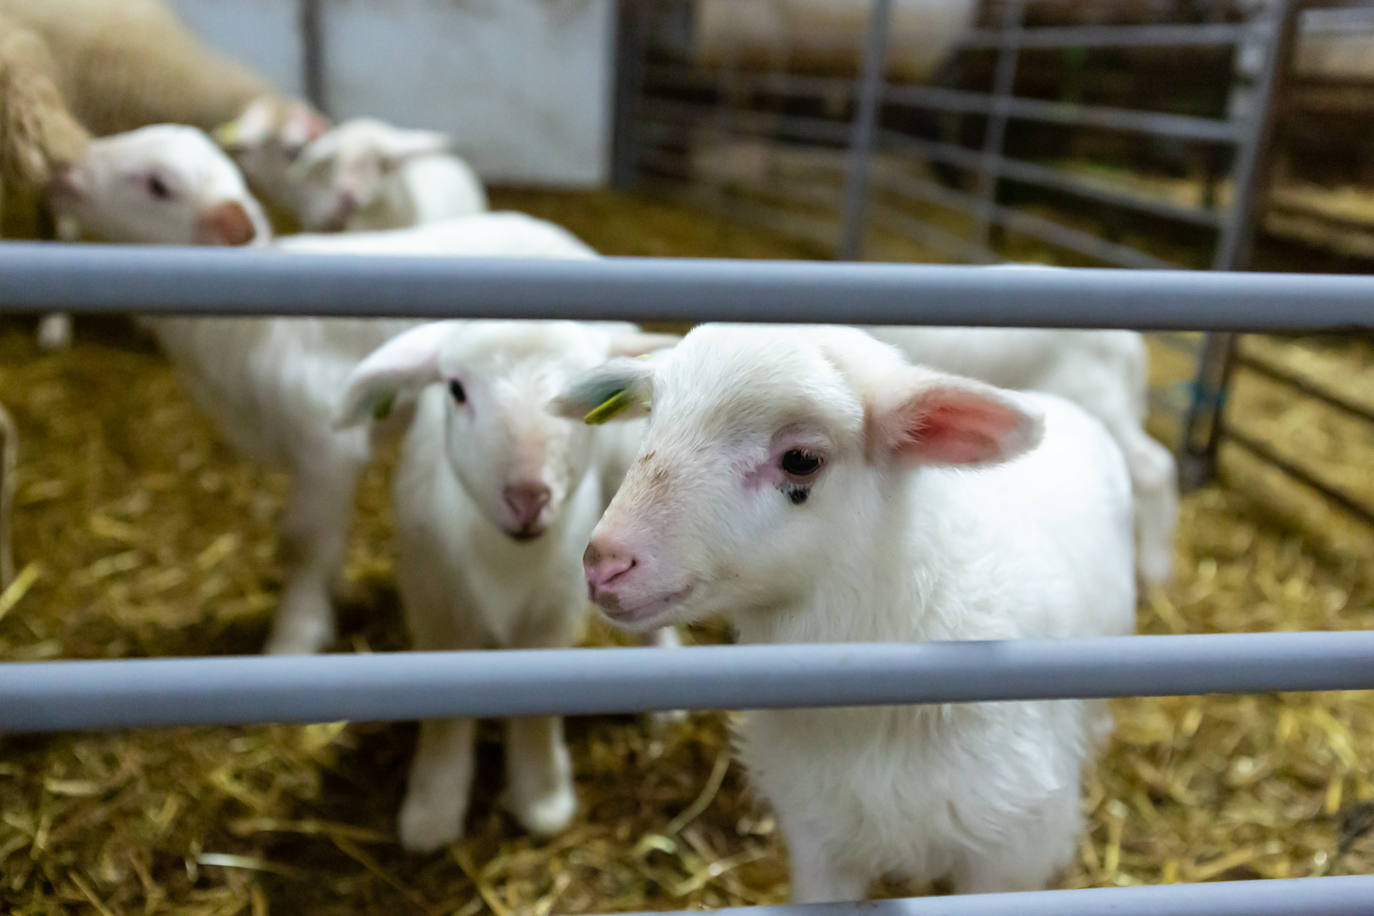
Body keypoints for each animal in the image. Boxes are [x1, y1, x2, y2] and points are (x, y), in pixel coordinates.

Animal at [338, 318, 681, 856]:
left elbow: (538, 707)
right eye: (456, 390)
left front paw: (543, 800)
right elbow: (443, 716)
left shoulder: (554, 609)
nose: (527, 498)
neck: (506, 555)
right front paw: (432, 811)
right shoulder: (434, 601)